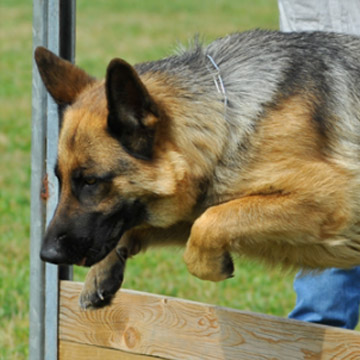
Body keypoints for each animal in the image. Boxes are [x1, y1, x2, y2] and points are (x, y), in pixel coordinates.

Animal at [34, 29, 360, 308]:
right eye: (59, 179)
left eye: (91, 181)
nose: (46, 255)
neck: (226, 121)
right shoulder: (191, 206)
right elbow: (185, 220)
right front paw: (102, 271)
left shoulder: (329, 199)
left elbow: (208, 223)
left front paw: (210, 266)